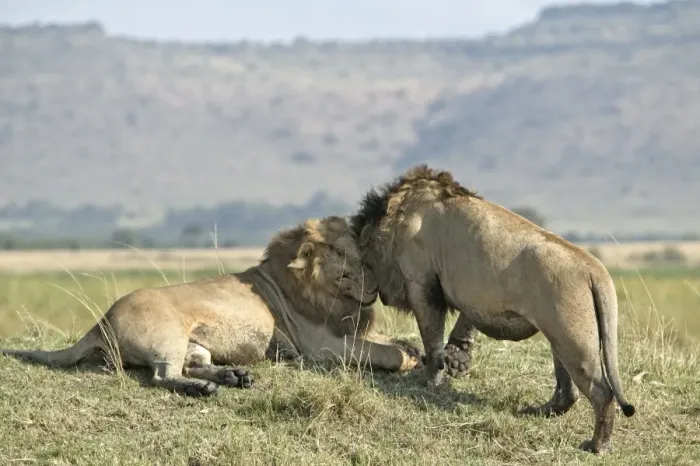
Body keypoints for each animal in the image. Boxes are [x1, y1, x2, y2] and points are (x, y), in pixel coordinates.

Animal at [0, 216, 422, 397]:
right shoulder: (322, 345)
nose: (376, 273)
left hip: (195, 344)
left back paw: (234, 376)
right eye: (345, 254)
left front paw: (412, 347)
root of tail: (101, 320)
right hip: (166, 336)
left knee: (193, 364)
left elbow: (389, 339)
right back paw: (205, 389)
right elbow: (385, 353)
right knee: (162, 375)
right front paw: (408, 359)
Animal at [349, 165, 636, 454]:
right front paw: (456, 359)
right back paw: (540, 411)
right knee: (568, 392)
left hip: (574, 341)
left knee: (602, 393)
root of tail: (595, 269)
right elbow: (464, 322)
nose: (369, 291)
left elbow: (432, 339)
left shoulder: (421, 284)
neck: (395, 217)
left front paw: (430, 380)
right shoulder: (470, 294)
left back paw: (596, 445)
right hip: (560, 336)